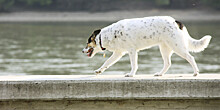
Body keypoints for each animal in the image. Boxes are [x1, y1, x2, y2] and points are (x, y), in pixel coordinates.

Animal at [81, 15, 211, 77]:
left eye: (87, 43)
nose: (82, 51)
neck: (107, 36)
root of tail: (176, 21)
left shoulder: (132, 51)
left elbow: (134, 65)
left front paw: (131, 75)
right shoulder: (118, 53)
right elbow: (106, 63)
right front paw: (99, 70)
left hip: (177, 47)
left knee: (190, 58)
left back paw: (196, 72)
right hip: (164, 48)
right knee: (168, 63)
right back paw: (160, 74)